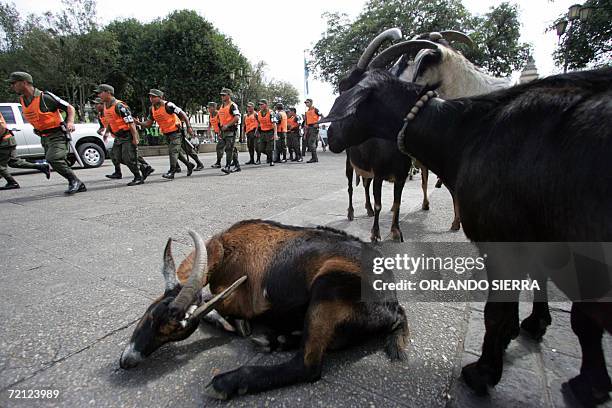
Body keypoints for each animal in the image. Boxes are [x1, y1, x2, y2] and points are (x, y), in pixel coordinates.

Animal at [119, 222, 408, 400]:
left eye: (156, 316)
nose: (128, 360)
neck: (227, 251)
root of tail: (394, 307)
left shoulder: (242, 298)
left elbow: (218, 304)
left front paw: (234, 324)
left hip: (329, 285)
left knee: (307, 366)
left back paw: (228, 382)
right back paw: (276, 339)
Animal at [328, 66, 612, 404]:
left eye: (345, 85)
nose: (328, 134)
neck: (465, 130)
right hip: (351, 167)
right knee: (353, 188)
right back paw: (355, 211)